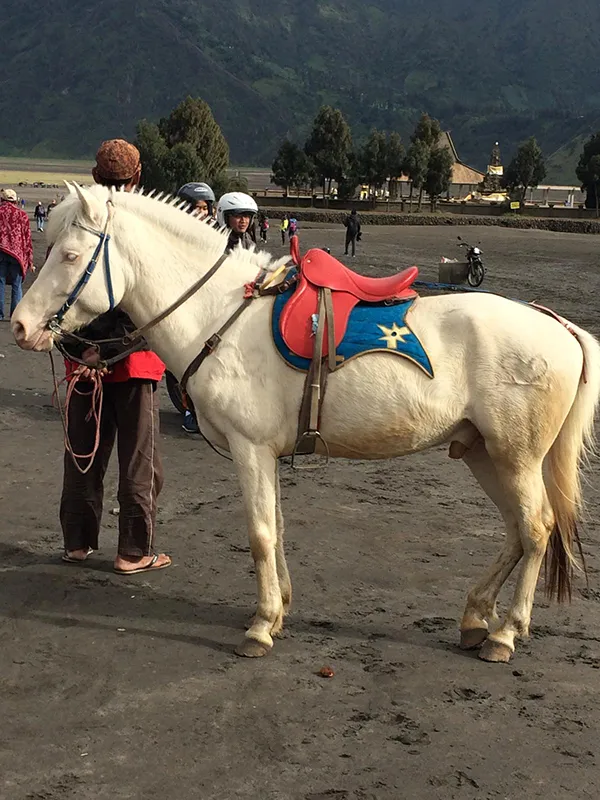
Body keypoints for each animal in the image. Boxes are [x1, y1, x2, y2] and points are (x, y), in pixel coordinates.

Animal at [12, 183, 600, 663]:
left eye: (70, 255)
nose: (19, 326)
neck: (221, 314)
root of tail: (559, 324)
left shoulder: (249, 449)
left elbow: (259, 534)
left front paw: (260, 627)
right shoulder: (266, 453)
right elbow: (276, 529)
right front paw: (279, 610)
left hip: (515, 457)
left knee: (536, 528)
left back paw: (506, 633)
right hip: (483, 453)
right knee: (517, 531)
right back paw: (478, 616)